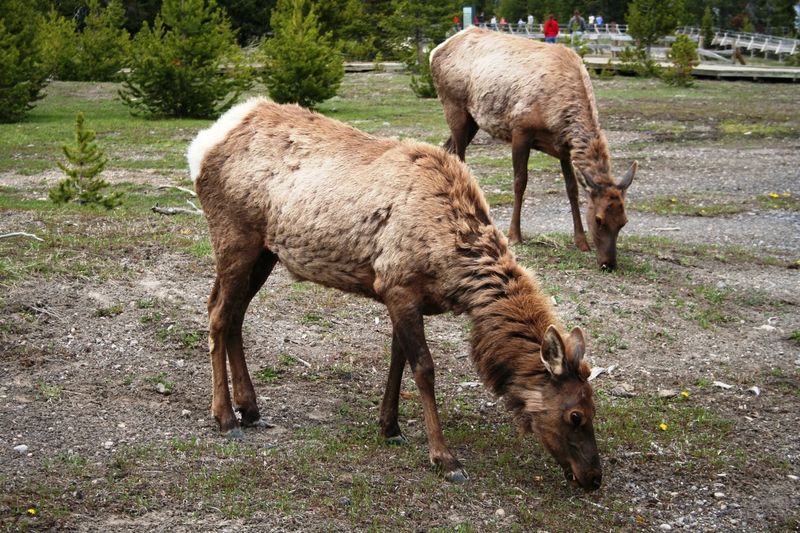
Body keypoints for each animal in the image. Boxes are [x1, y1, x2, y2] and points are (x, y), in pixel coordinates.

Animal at [187, 98, 602, 490]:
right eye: (575, 415)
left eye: (594, 409)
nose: (593, 477)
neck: (454, 266)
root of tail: (201, 145)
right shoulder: (398, 286)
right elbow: (424, 369)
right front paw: (445, 458)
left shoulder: (402, 295)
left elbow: (397, 360)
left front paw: (390, 427)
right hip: (234, 235)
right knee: (218, 313)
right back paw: (226, 417)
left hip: (265, 252)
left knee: (234, 314)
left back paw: (250, 408)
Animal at [430, 26, 637, 271]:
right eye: (599, 219)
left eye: (624, 221)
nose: (608, 264)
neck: (558, 114)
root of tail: (435, 50)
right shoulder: (521, 130)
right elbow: (520, 182)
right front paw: (515, 235)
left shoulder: (563, 147)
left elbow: (572, 189)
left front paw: (581, 241)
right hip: (454, 106)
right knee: (459, 157)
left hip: (472, 120)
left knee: (447, 148)